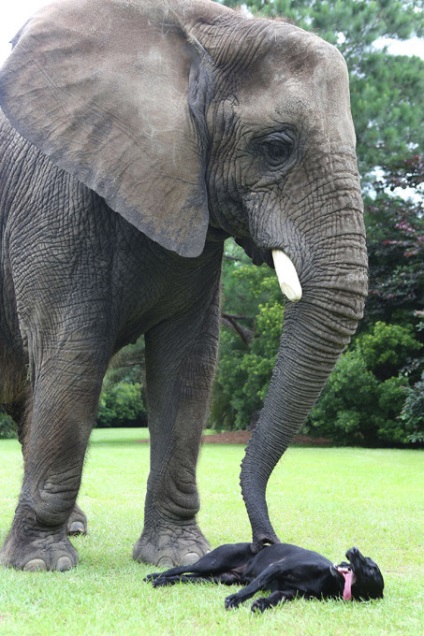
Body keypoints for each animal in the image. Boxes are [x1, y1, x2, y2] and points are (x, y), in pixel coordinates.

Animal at [0, 0, 366, 572]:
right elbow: (73, 355)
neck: (207, 31)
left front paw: (177, 555)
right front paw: (41, 564)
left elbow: (187, 365)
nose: (265, 543)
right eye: (276, 147)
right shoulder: (53, 203)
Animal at [147, 540, 384, 612]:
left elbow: (274, 599)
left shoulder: (288, 593)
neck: (329, 579)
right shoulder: (276, 567)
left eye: (371, 569)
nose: (353, 549)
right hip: (210, 563)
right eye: (367, 559)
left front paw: (260, 604)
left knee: (185, 577)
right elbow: (253, 586)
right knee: (179, 569)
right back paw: (155, 576)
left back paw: (163, 582)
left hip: (217, 578)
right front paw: (236, 599)